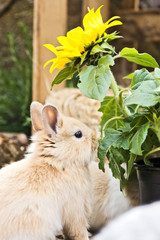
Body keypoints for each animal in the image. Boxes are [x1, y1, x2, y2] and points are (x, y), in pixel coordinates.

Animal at [0, 101, 97, 240]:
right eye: (78, 134)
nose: (96, 139)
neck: (59, 163)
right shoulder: (75, 211)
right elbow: (78, 231)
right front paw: (86, 237)